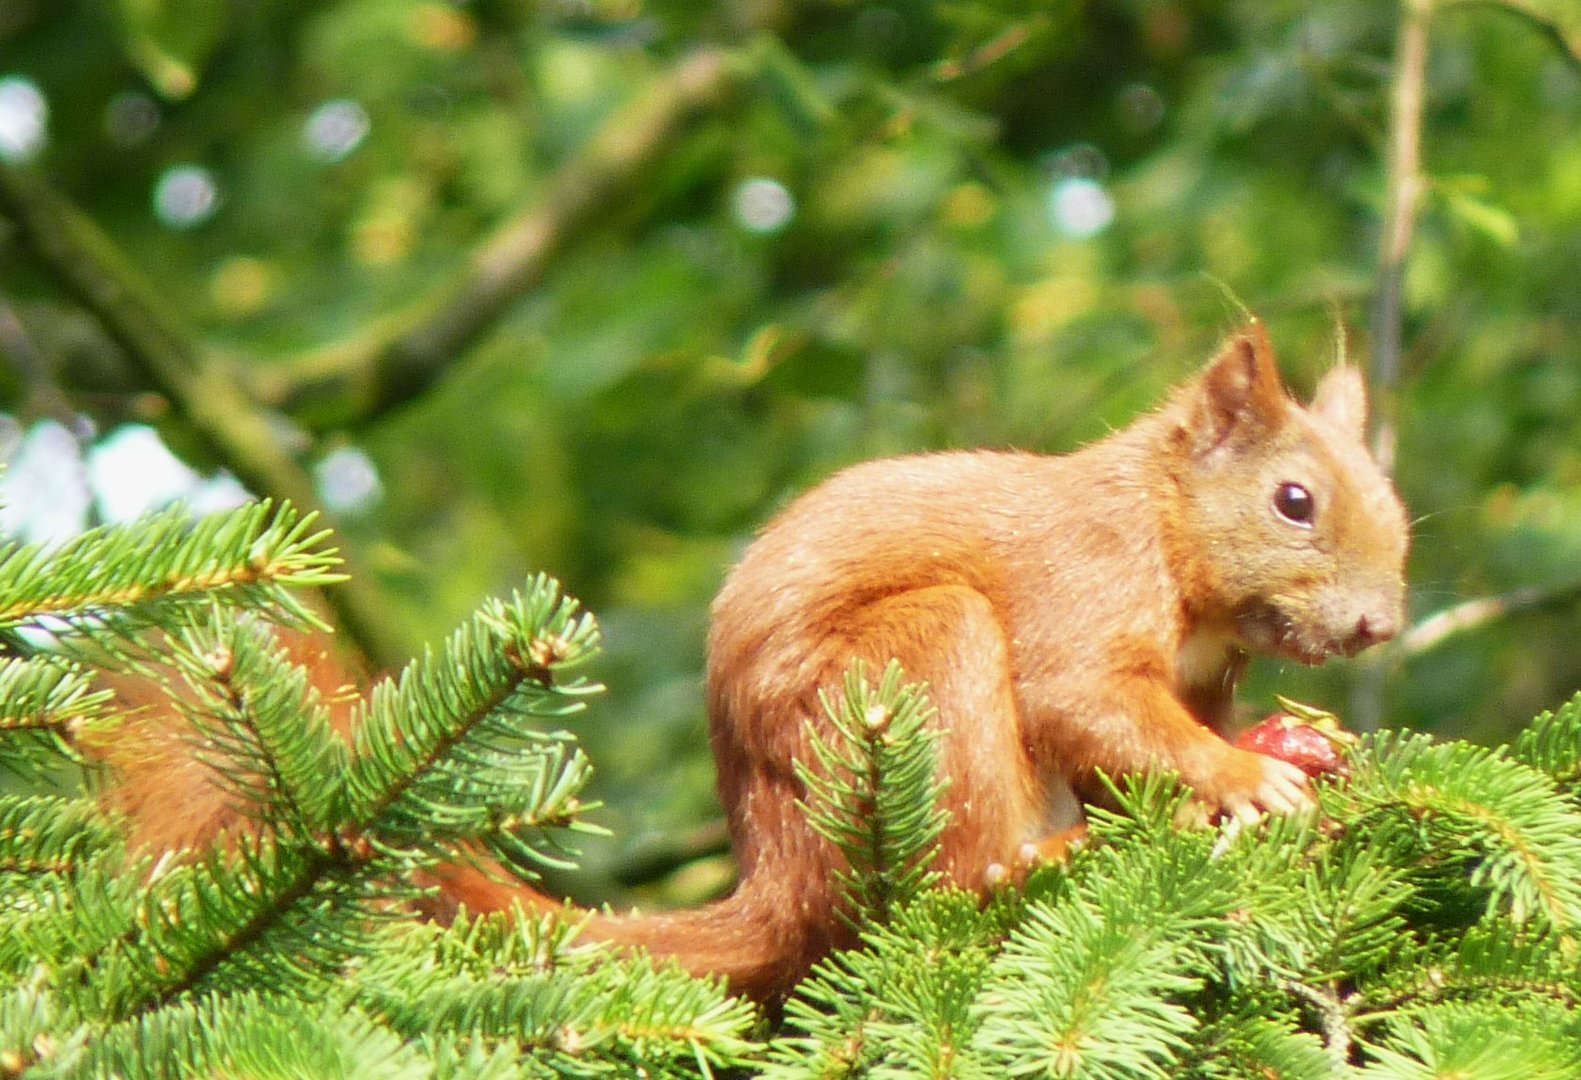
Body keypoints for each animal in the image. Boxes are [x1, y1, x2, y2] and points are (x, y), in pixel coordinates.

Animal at [95, 322, 1410, 1005]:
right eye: (1294, 501)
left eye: (1395, 506)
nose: (1379, 628)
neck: (1169, 536)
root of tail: (781, 873)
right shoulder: (1078, 594)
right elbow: (1087, 703)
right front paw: (1243, 781)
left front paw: (1293, 741)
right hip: (915, 664)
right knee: (957, 877)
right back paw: (1043, 862)